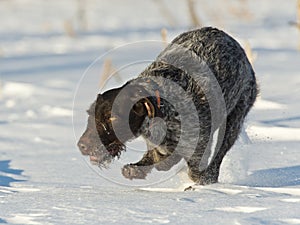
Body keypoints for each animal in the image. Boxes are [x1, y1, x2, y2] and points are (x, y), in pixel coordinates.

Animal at [77, 26, 258, 185]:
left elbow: (195, 172)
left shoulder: (198, 148)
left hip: (234, 119)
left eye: (112, 117)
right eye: (90, 115)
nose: (82, 146)